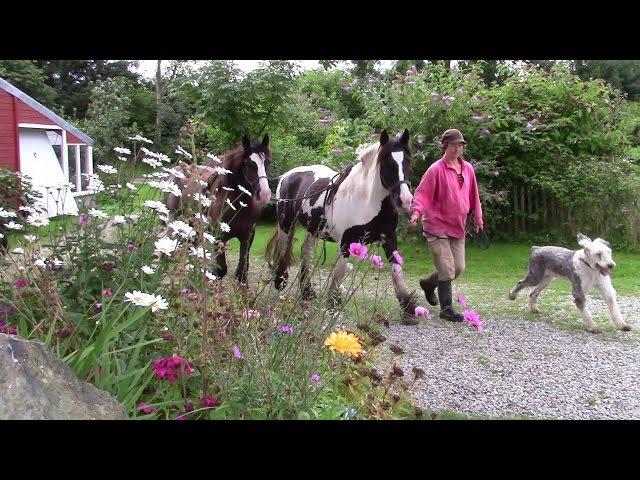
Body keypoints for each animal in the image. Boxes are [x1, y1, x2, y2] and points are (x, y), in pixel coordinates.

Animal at [166, 134, 272, 284]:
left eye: (267, 163)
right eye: (249, 164)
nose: (265, 194)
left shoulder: (247, 237)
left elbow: (242, 272)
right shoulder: (219, 237)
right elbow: (221, 270)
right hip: (175, 219)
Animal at [264, 127, 418, 316]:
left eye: (407, 161)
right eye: (386, 163)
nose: (405, 200)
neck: (366, 201)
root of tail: (287, 175)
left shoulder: (389, 238)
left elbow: (397, 270)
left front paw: (408, 306)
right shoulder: (346, 242)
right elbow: (339, 272)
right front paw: (333, 302)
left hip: (314, 228)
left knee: (306, 251)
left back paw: (307, 291)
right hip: (286, 223)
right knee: (283, 247)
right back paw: (280, 281)